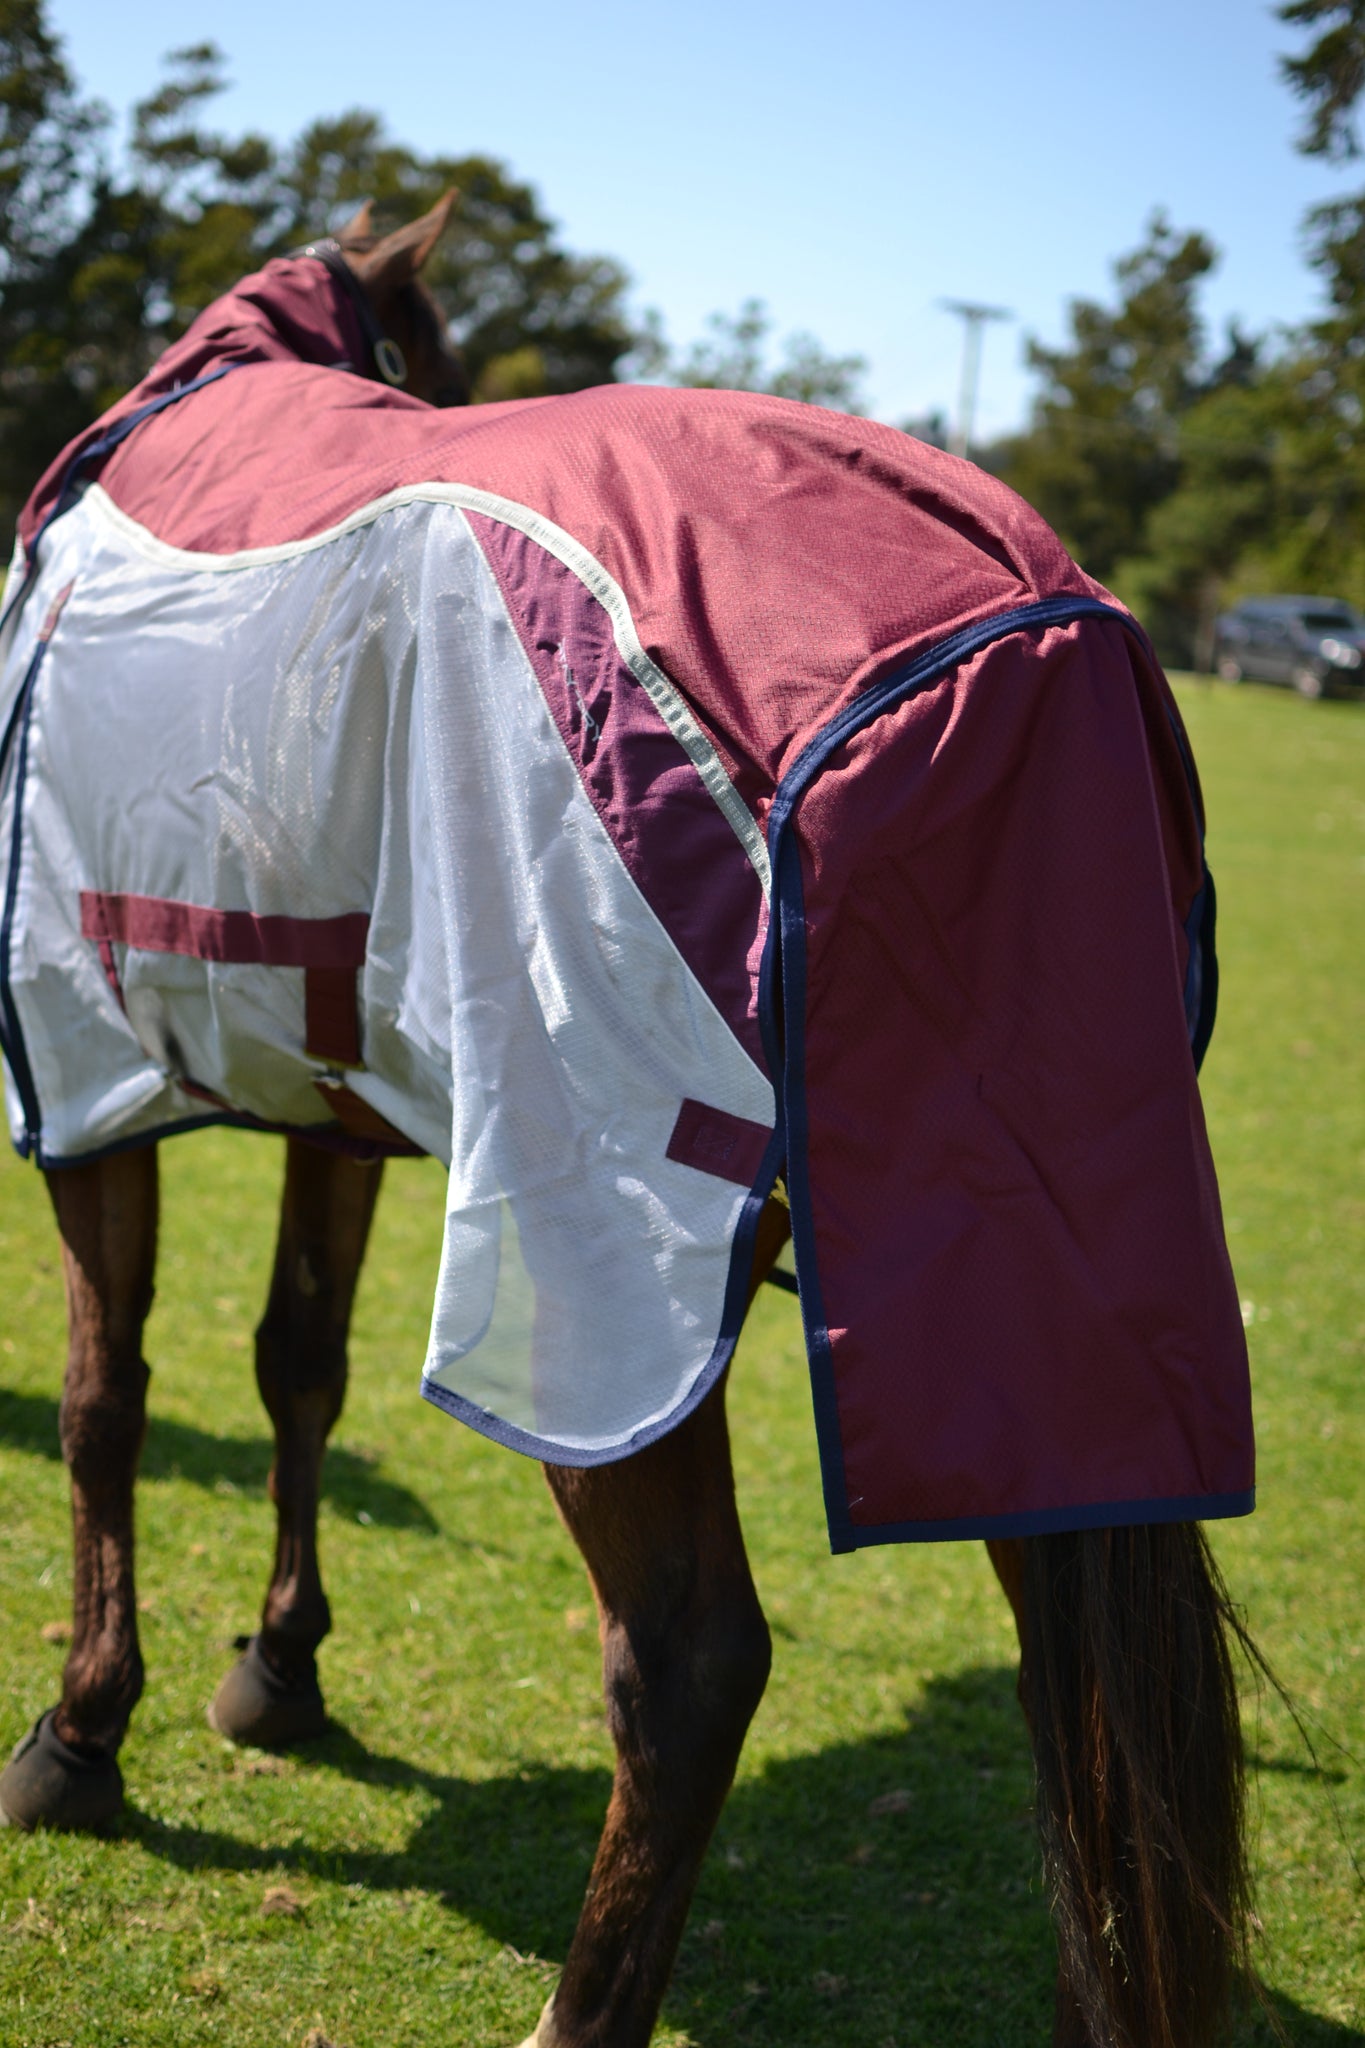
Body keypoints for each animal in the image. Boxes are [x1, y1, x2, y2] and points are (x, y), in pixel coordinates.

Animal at [0, 195, 1260, 2048]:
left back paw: (579, 2007)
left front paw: (83, 1728)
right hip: (1038, 1310)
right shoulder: (329, 1097)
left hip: (602, 1275)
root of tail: (1023, 628)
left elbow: (105, 1399)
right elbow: (296, 1359)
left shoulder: (92, 1079)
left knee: (690, 1659)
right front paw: (279, 1665)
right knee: (1081, 1693)